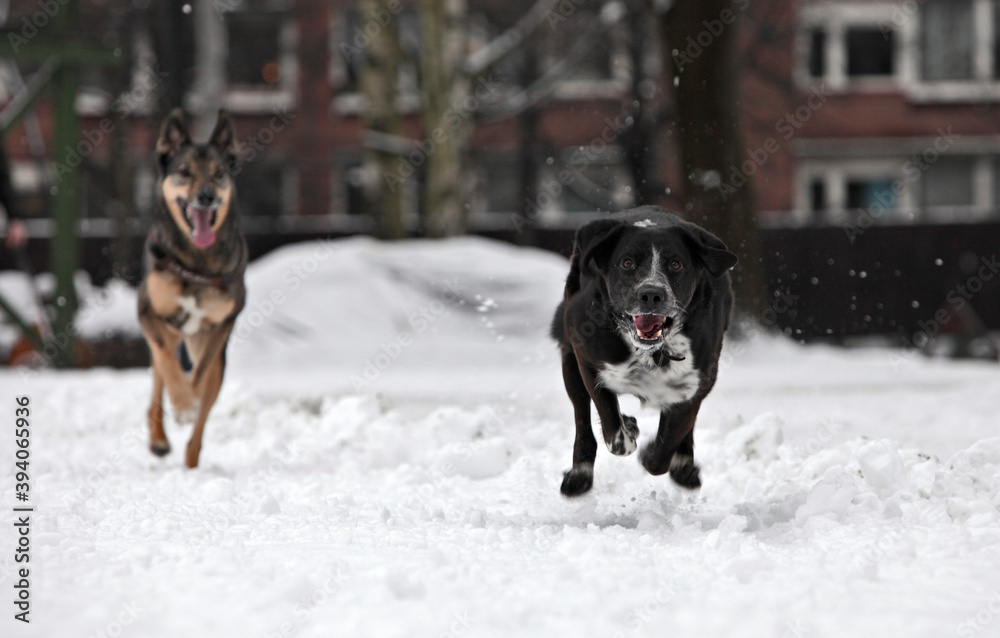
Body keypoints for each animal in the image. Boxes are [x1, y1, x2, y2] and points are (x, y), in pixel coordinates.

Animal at [138, 110, 247, 470]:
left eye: (219, 174)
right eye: (184, 172)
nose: (206, 197)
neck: (196, 264)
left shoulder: (221, 324)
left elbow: (198, 376)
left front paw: (189, 404)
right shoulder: (148, 312)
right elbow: (167, 362)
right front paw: (182, 403)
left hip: (215, 360)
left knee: (203, 414)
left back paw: (191, 459)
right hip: (168, 333)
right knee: (159, 382)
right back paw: (159, 439)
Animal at [552, 208, 740, 498]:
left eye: (676, 264)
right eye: (627, 263)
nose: (651, 294)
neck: (652, 352)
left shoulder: (699, 380)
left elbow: (668, 443)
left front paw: (656, 454)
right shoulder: (587, 360)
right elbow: (611, 425)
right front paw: (627, 431)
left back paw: (684, 466)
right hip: (569, 362)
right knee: (582, 418)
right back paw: (580, 474)